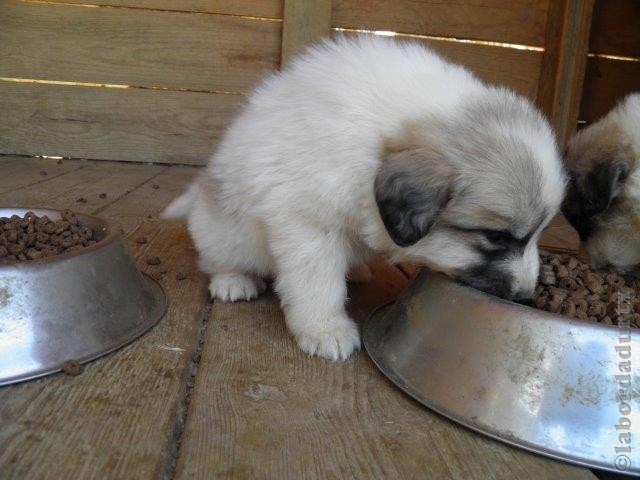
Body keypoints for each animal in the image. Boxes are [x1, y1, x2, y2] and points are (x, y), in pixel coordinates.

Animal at [164, 36, 564, 360]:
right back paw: (233, 279)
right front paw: (326, 329)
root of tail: (201, 191)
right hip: (228, 232)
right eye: (496, 237)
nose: (525, 295)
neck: (379, 144)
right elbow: (317, 283)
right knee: (215, 258)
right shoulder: (309, 225)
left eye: (540, 234)